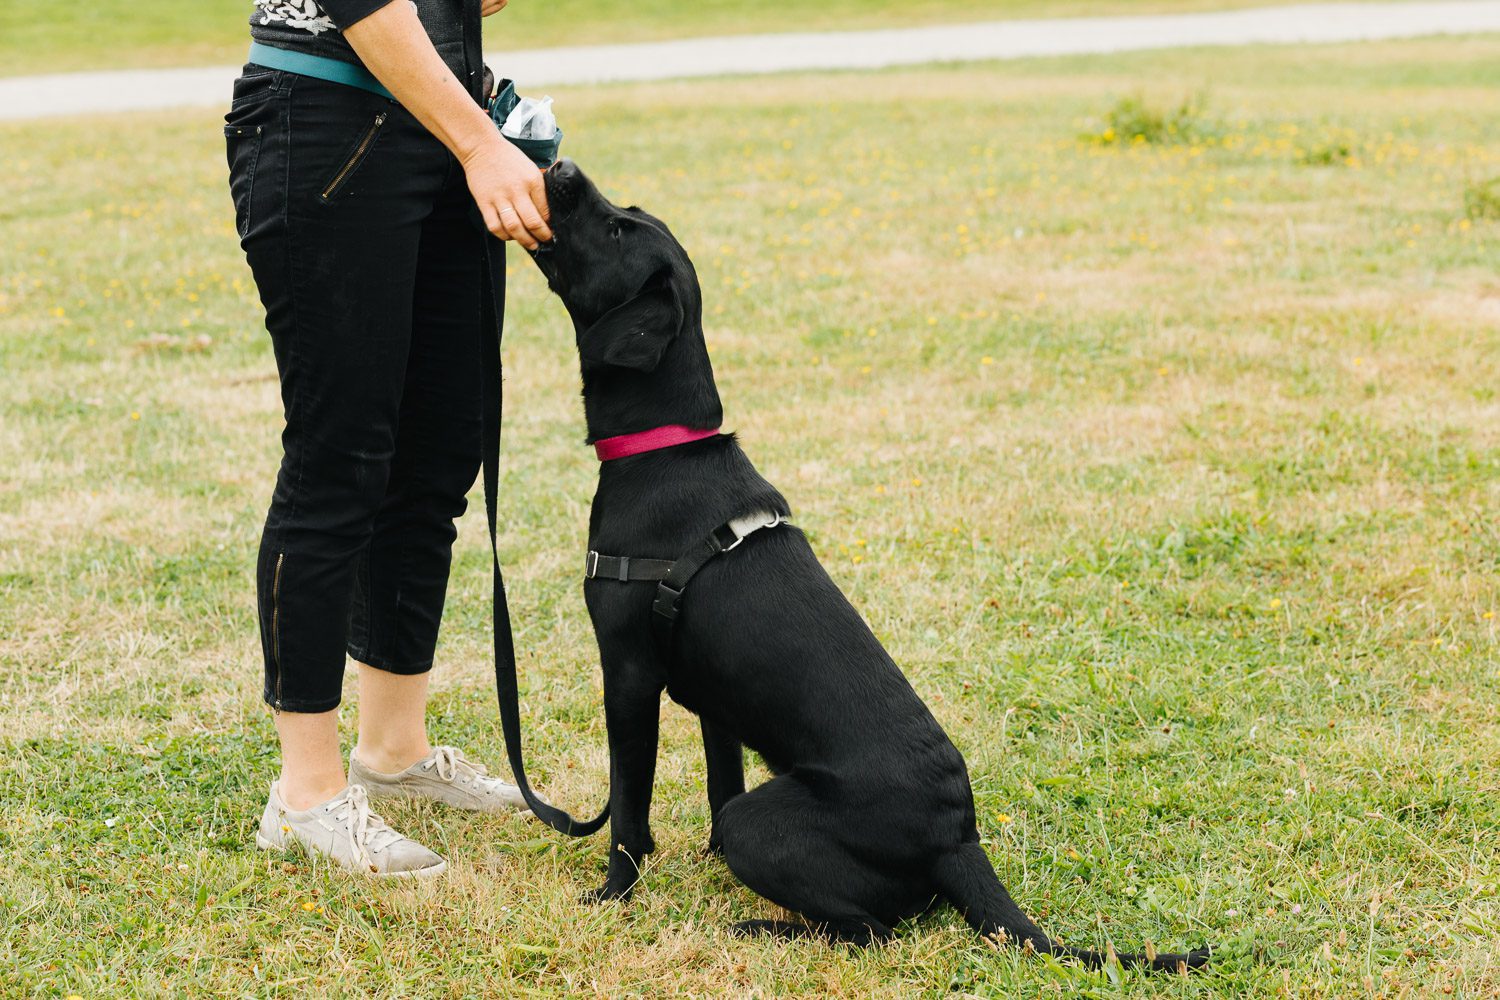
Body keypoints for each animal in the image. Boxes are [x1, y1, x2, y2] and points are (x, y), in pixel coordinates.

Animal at [528, 160, 1206, 971]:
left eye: (615, 228)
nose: (560, 167)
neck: (664, 447)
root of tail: (958, 840)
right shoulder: (714, 703)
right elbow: (719, 785)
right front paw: (703, 861)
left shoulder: (629, 673)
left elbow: (629, 808)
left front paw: (614, 893)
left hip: (771, 823)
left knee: (868, 931)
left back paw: (763, 927)